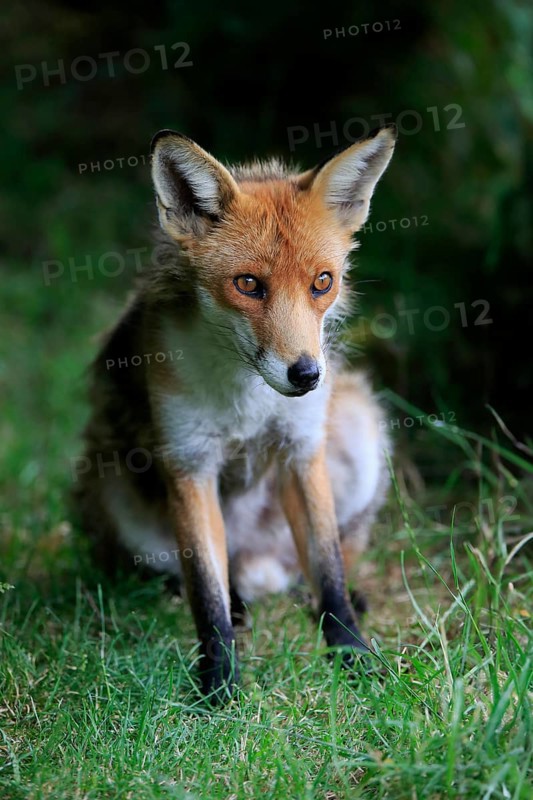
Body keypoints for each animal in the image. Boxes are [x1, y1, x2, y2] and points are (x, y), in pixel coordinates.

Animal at [74, 124, 397, 702]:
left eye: (323, 282)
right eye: (248, 284)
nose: (306, 375)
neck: (249, 400)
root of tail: (257, 563)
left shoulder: (301, 450)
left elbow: (329, 570)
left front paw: (352, 655)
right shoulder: (189, 463)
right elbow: (208, 594)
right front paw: (219, 685)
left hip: (361, 429)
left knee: (318, 565)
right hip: (114, 491)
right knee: (208, 581)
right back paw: (235, 607)